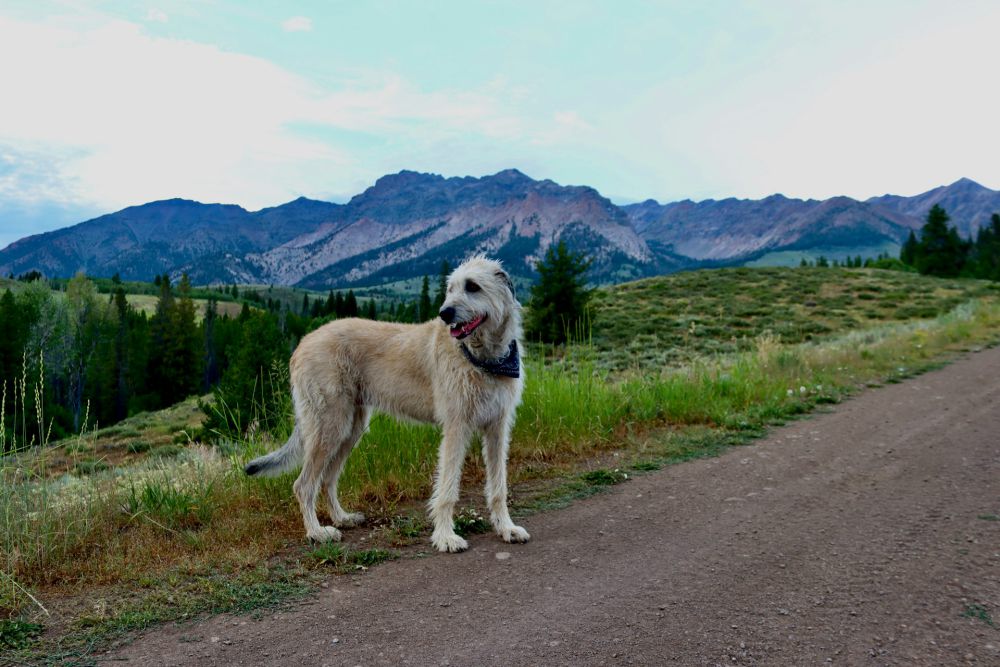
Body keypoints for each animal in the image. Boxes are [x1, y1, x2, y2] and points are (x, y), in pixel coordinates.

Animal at [244, 256, 532, 552]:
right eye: (450, 289)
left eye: (473, 286)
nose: (445, 313)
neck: (484, 358)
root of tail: (302, 344)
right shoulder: (456, 427)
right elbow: (448, 488)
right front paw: (445, 536)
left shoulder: (497, 428)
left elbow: (499, 486)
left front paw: (506, 528)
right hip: (329, 425)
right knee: (303, 485)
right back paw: (316, 532)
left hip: (350, 429)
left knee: (327, 478)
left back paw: (342, 518)